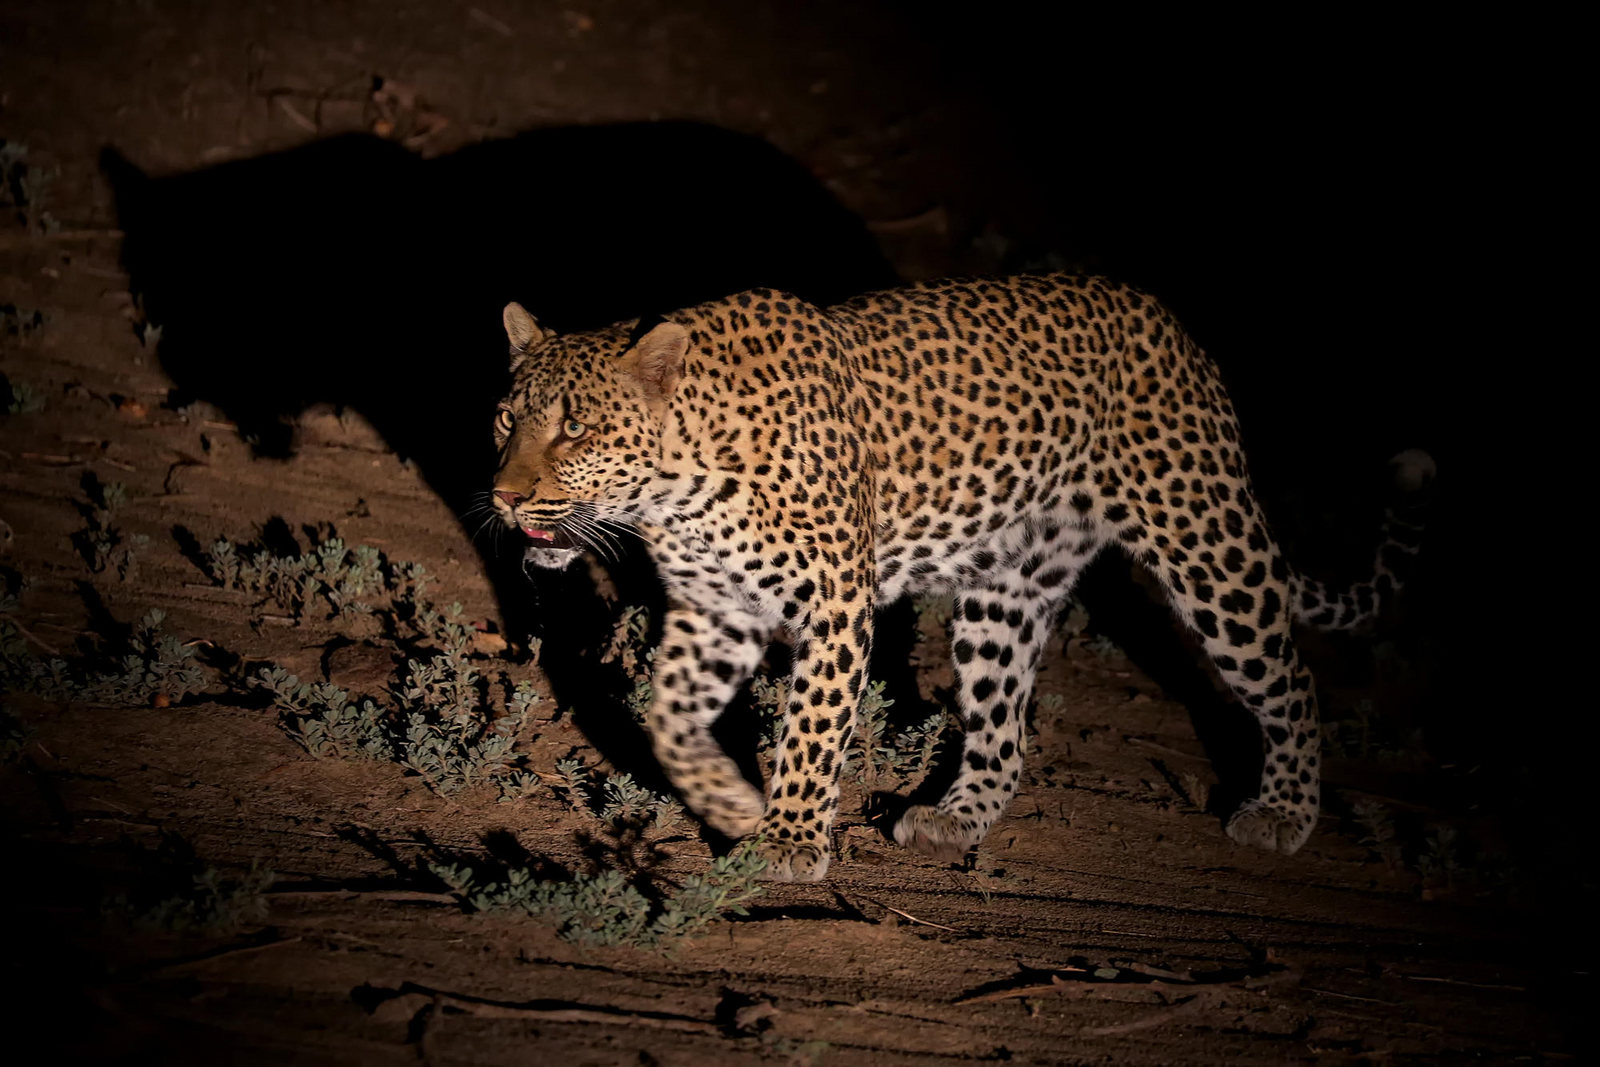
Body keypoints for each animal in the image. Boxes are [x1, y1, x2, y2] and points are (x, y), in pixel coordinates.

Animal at [490, 272, 1431, 882]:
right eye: (504, 419)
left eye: (574, 429)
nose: (504, 495)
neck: (677, 488)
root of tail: (1173, 327)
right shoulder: (714, 607)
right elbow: (668, 717)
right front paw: (729, 802)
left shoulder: (835, 602)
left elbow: (813, 726)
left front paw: (789, 837)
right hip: (1006, 592)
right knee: (1005, 727)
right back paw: (956, 815)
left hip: (1206, 544)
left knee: (1293, 678)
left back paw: (1285, 811)